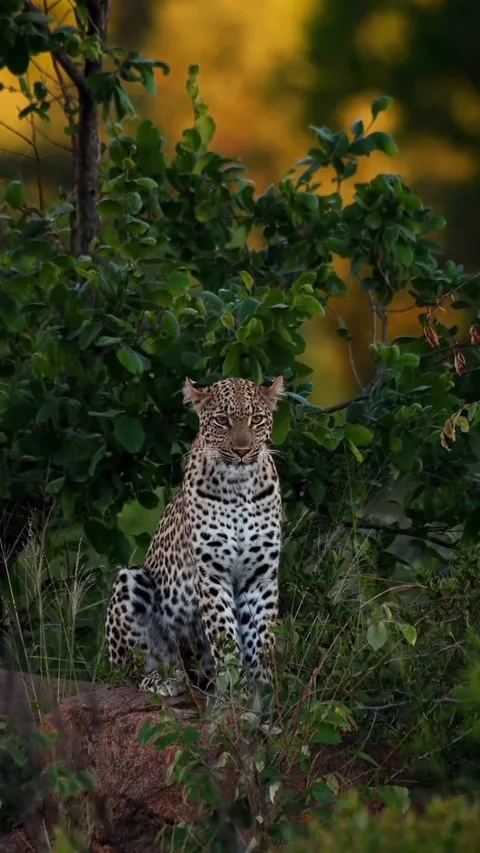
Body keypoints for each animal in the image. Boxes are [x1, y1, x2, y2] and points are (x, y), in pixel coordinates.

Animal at [105, 375, 284, 697]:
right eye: (222, 420)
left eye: (257, 419)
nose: (242, 451)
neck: (239, 487)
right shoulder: (212, 574)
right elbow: (225, 636)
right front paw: (235, 690)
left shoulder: (260, 577)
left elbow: (261, 639)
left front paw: (263, 691)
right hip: (130, 580)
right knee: (131, 671)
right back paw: (165, 680)